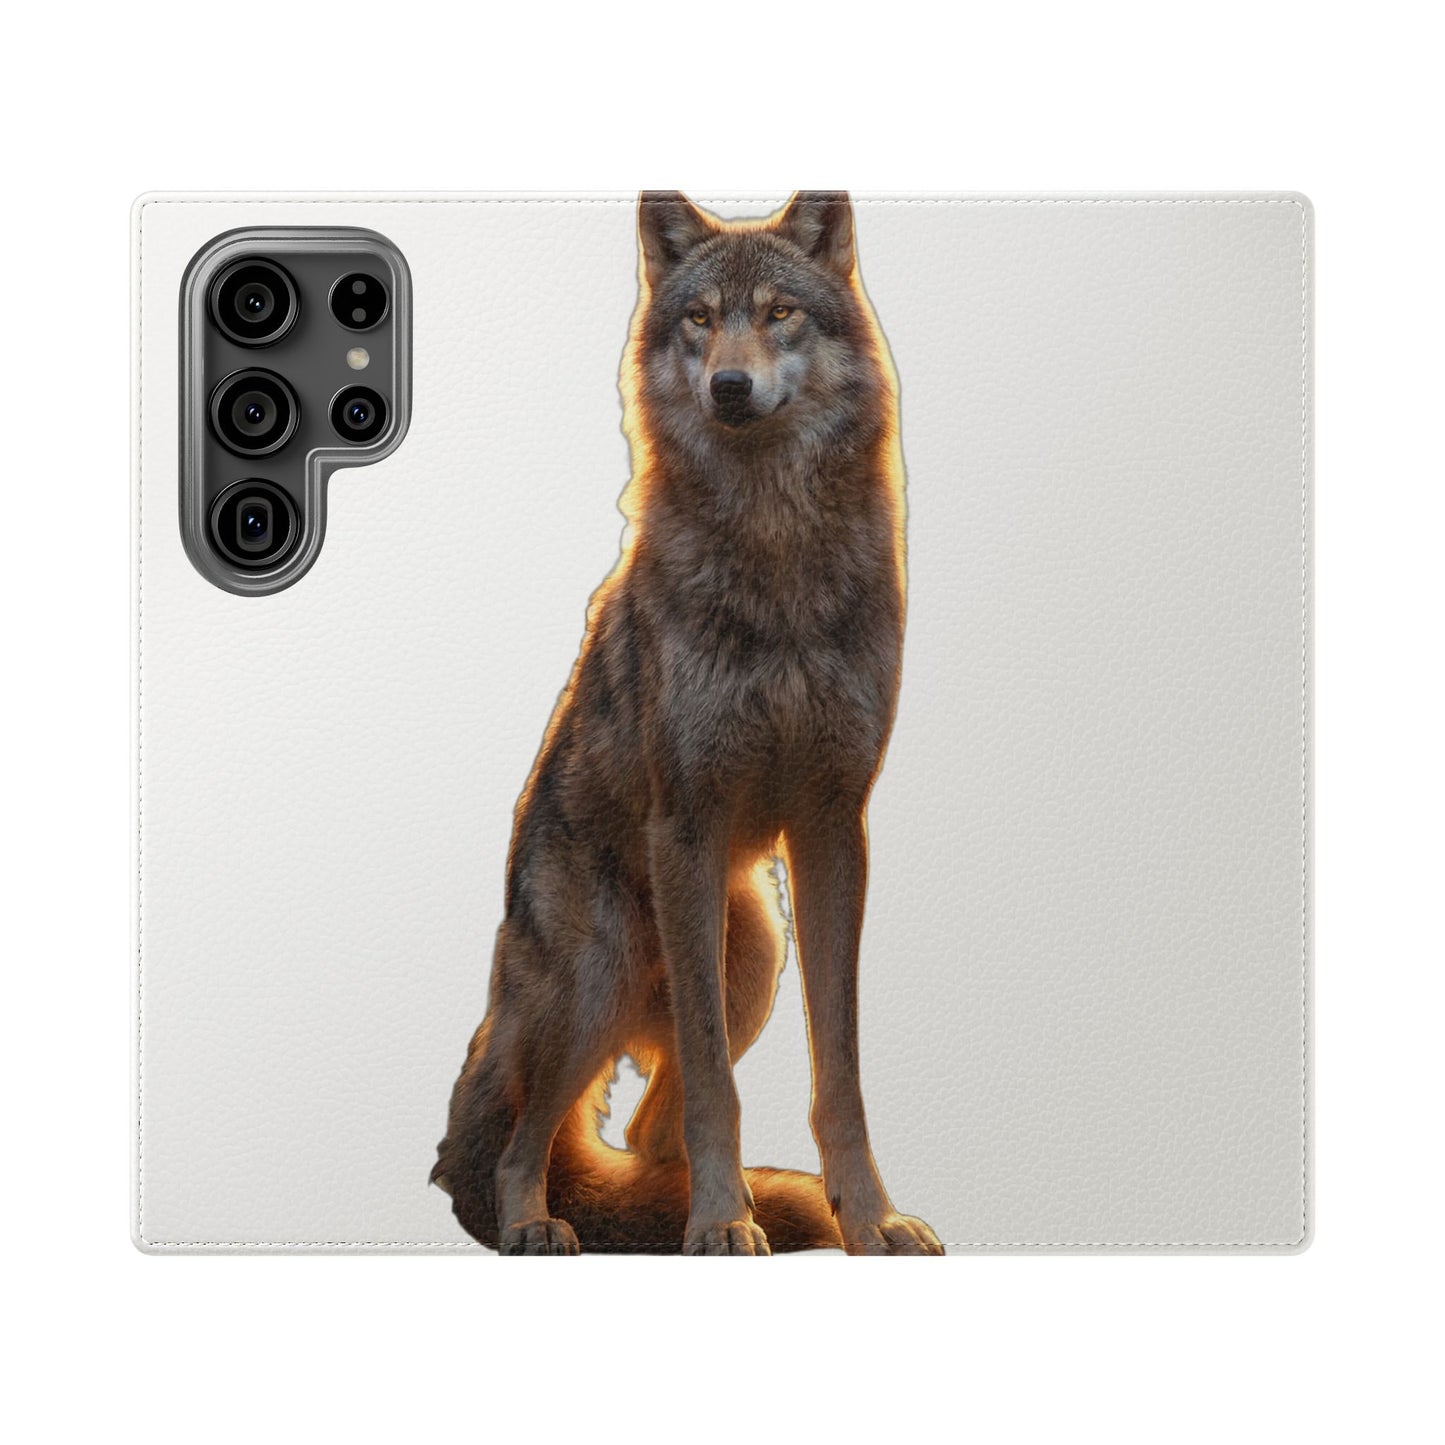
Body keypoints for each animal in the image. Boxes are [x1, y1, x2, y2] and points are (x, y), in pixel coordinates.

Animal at [433, 191, 942, 1255]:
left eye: (779, 313)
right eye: (700, 319)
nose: (730, 387)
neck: (775, 545)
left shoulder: (834, 824)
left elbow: (839, 1071)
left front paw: (868, 1219)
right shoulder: (689, 823)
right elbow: (714, 1082)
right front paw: (717, 1224)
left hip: (752, 954)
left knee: (641, 1128)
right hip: (602, 973)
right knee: (522, 1139)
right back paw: (541, 1225)